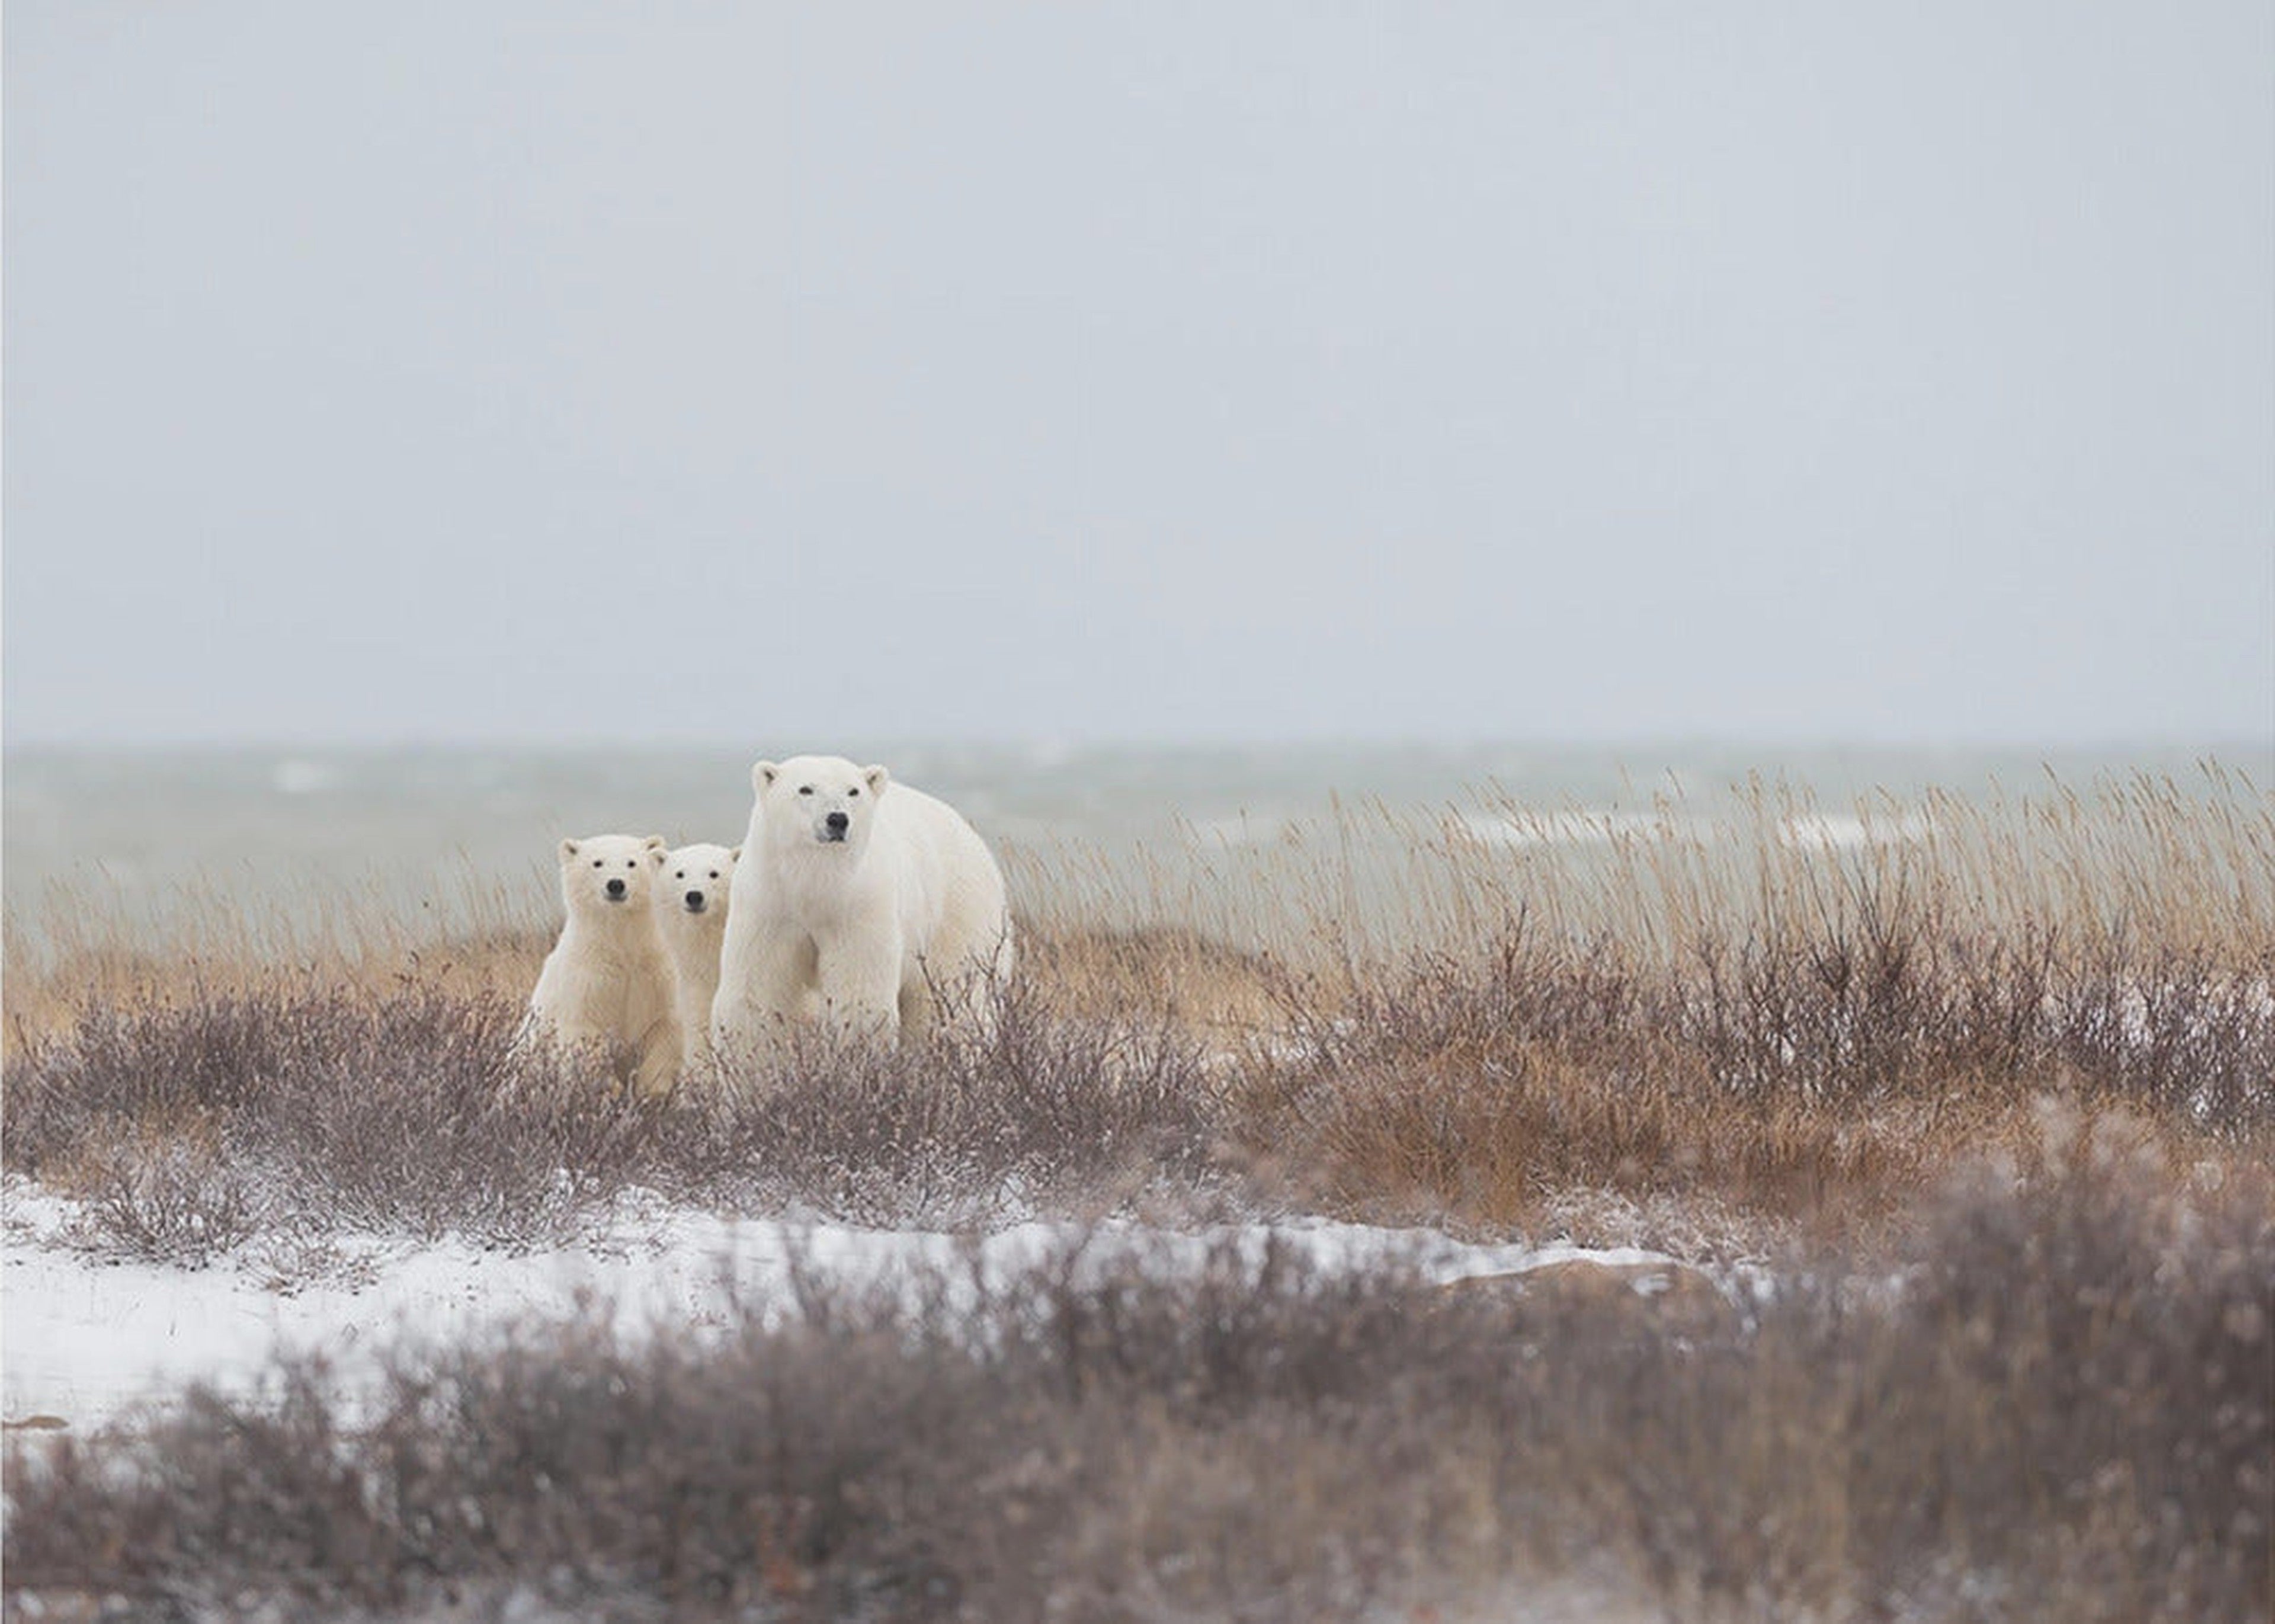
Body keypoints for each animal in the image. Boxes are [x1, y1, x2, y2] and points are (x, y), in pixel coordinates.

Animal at [710, 750, 1014, 1042]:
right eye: (805, 789)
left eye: (853, 791)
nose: (837, 819)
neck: (814, 881)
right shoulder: (769, 902)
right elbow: (758, 987)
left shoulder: (859, 902)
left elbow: (859, 990)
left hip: (957, 913)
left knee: (951, 994)